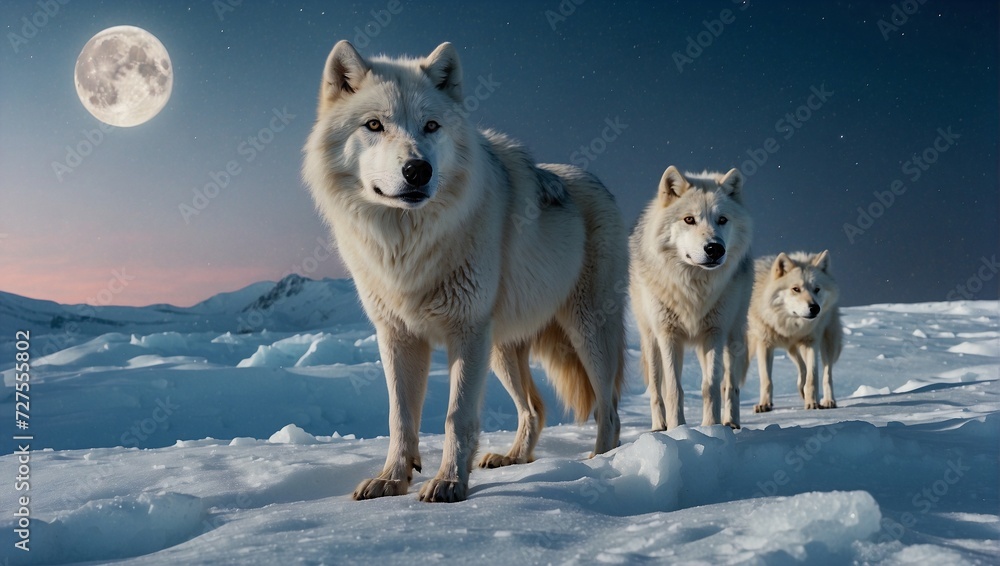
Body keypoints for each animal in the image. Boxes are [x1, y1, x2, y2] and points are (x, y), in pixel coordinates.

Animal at [301, 41, 628, 502]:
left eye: (431, 126)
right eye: (374, 125)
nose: (418, 169)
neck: (408, 246)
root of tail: (595, 181)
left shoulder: (467, 331)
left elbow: (457, 416)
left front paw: (449, 482)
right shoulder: (397, 335)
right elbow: (400, 417)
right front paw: (392, 479)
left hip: (585, 333)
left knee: (609, 408)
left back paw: (601, 462)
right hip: (503, 349)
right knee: (535, 408)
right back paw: (512, 457)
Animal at [630, 166, 754, 431]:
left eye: (722, 220)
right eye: (689, 219)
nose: (715, 248)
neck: (693, 288)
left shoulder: (714, 333)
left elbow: (711, 386)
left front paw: (711, 428)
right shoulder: (668, 335)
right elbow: (673, 389)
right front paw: (678, 429)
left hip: (733, 335)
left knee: (731, 384)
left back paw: (731, 422)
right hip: (650, 340)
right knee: (656, 387)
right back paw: (659, 426)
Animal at [748, 251, 843, 412]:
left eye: (817, 289)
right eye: (796, 289)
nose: (815, 308)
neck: (789, 324)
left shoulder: (811, 342)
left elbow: (813, 378)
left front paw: (812, 404)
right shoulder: (764, 344)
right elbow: (766, 380)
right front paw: (764, 405)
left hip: (827, 344)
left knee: (827, 374)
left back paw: (828, 401)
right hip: (790, 349)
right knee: (802, 367)